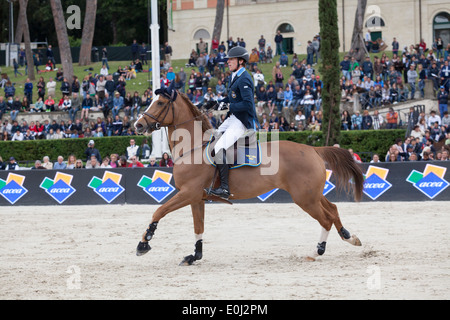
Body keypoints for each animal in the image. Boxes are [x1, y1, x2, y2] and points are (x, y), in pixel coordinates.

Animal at [134, 90, 366, 264]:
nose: (138, 125)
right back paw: (349, 237)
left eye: (160, 102)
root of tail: (312, 149)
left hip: (305, 198)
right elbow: (198, 227)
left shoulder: (188, 193)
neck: (193, 148)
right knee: (332, 210)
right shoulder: (196, 198)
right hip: (312, 194)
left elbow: (159, 211)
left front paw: (144, 243)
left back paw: (316, 251)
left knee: (325, 219)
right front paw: (195, 256)